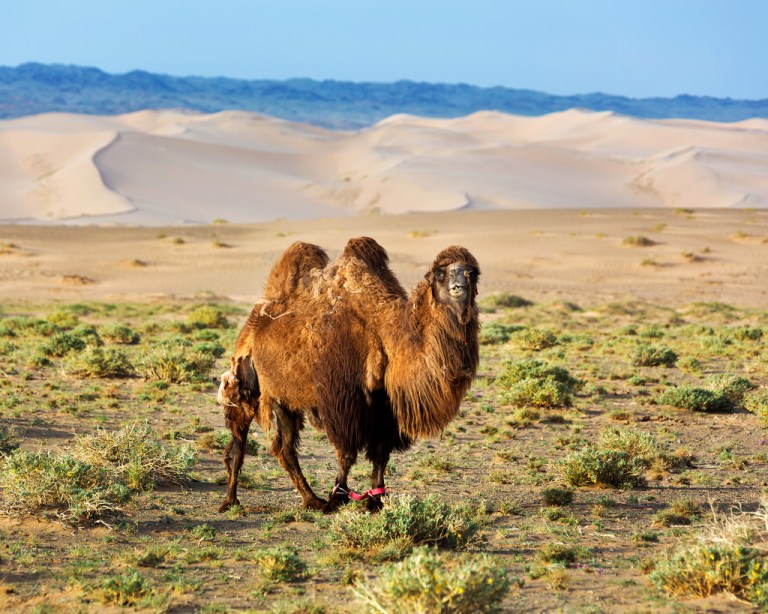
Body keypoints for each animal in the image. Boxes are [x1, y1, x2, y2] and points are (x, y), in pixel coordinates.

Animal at [216, 237, 480, 512]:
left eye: (473, 273)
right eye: (440, 273)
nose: (459, 286)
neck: (386, 333)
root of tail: (253, 321)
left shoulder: (384, 407)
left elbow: (380, 454)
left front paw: (375, 500)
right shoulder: (343, 401)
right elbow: (346, 453)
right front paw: (338, 497)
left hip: (283, 397)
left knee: (283, 447)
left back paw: (311, 500)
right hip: (245, 383)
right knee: (239, 443)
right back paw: (230, 501)